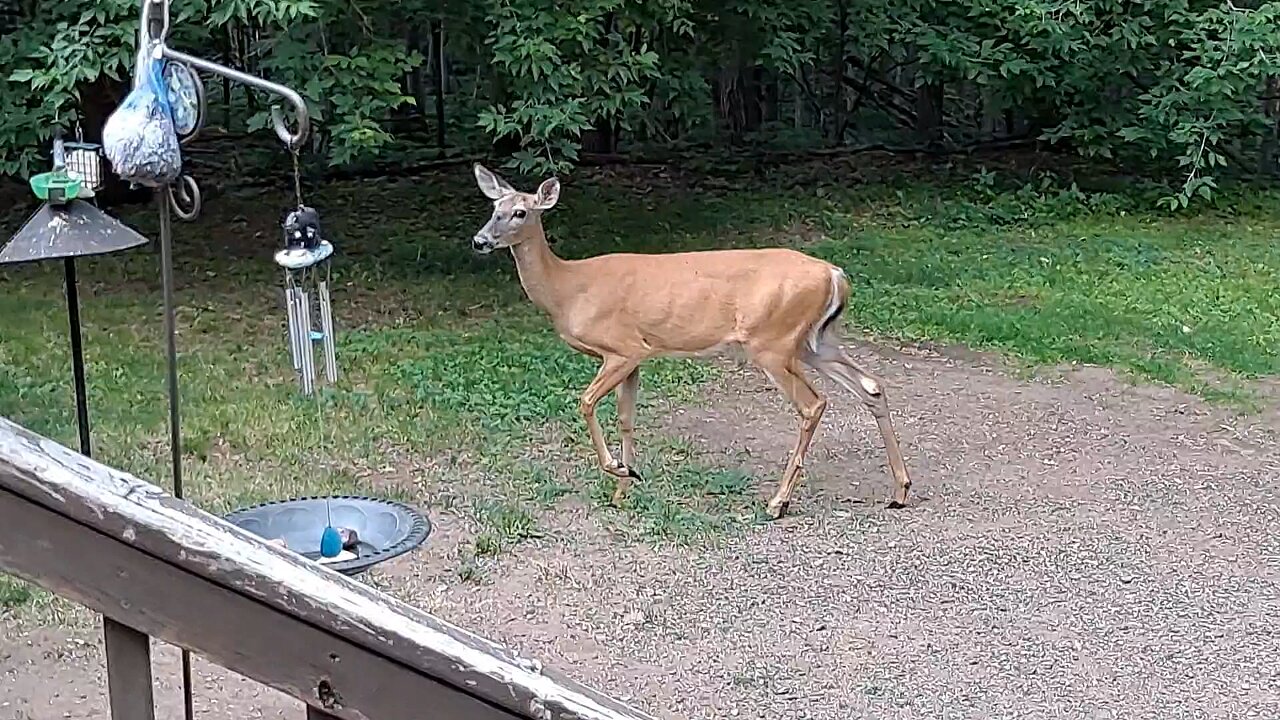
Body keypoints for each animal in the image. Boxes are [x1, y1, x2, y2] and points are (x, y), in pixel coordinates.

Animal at [471, 163, 911, 515]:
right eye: (493, 209)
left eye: (520, 212)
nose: (480, 241)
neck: (567, 289)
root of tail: (835, 274)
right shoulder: (637, 356)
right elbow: (627, 417)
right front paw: (624, 486)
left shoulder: (622, 348)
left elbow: (586, 402)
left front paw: (616, 469)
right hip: (816, 339)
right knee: (871, 386)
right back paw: (900, 491)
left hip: (773, 341)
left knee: (813, 403)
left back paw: (778, 502)